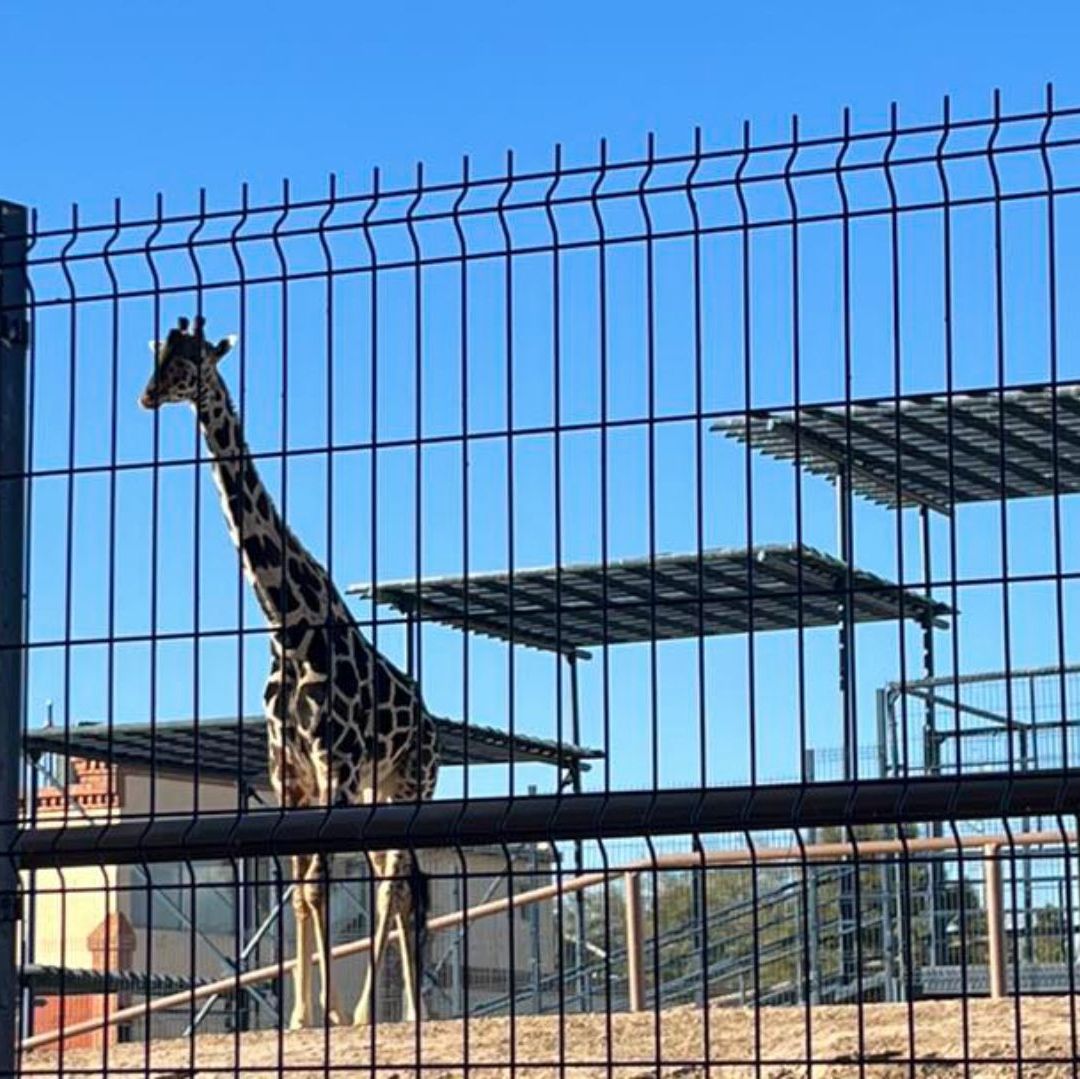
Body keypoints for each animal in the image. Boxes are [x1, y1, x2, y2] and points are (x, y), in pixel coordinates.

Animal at [139, 316, 440, 1028]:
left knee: (396, 878)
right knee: (395, 877)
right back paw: (402, 1011)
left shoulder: (335, 765)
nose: (146, 396)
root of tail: (433, 724)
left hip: (411, 783)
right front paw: (305, 1013)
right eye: (158, 356)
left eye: (192, 362)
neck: (288, 622)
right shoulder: (290, 774)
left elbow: (323, 881)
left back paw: (379, 1013)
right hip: (380, 789)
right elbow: (303, 888)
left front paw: (329, 1013)